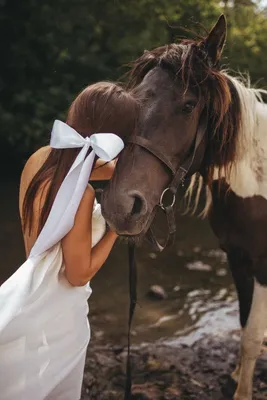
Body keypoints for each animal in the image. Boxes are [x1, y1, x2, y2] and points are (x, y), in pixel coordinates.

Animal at [101, 14, 267, 398]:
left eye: (189, 105)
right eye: (134, 101)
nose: (119, 206)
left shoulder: (264, 267)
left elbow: (252, 336)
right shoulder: (238, 258)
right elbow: (243, 323)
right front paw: (237, 375)